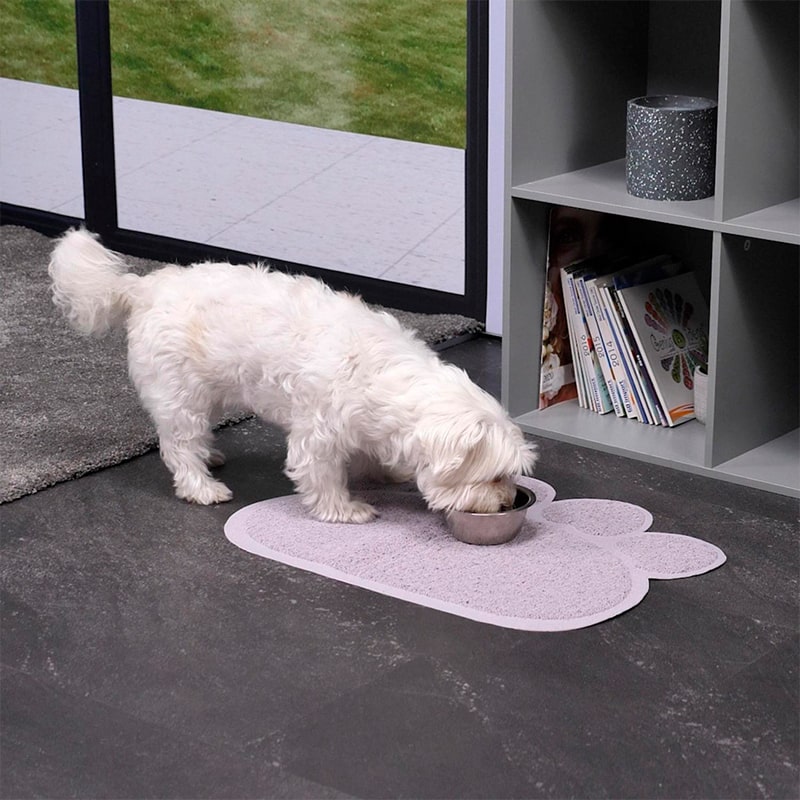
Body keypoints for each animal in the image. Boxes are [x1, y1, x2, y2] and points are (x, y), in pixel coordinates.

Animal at [50, 228, 536, 520]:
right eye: (495, 476)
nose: (507, 502)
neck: (385, 379)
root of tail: (144, 287)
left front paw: (386, 471)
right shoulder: (317, 433)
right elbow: (321, 476)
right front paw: (347, 509)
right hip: (178, 394)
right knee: (179, 446)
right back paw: (201, 486)